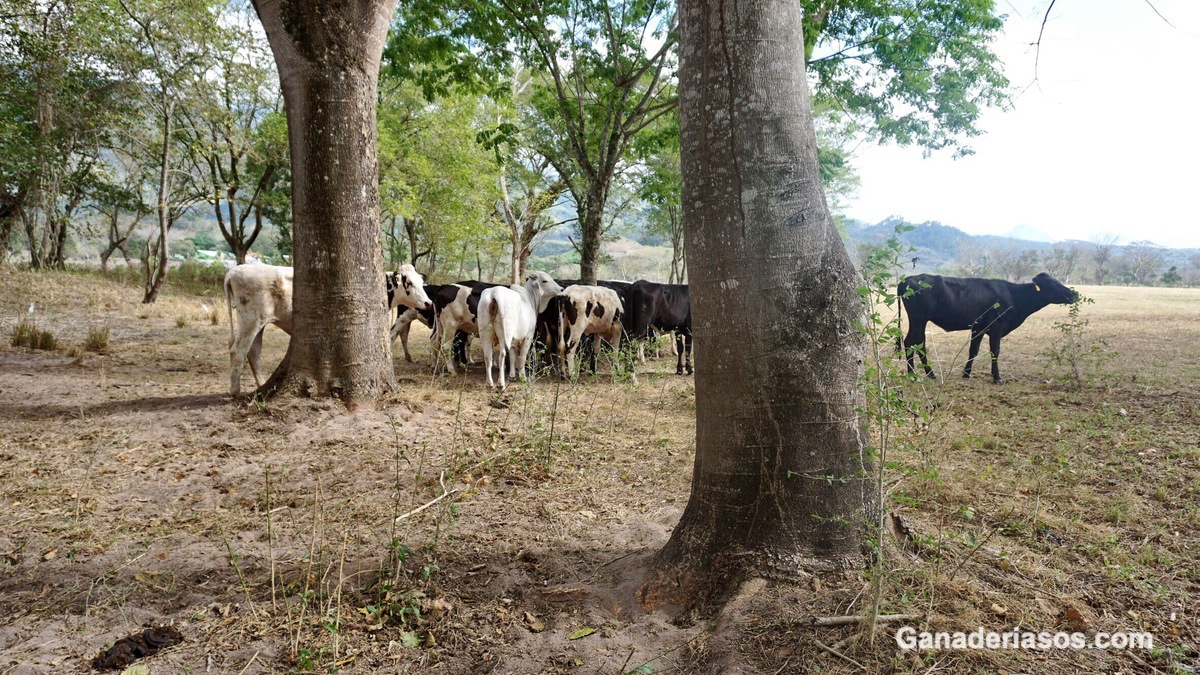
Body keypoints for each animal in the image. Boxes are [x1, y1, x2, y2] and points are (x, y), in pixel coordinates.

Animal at [902, 270, 1080, 381]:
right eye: (1053, 284)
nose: (1075, 293)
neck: (1013, 295)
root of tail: (908, 279)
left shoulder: (978, 328)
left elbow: (973, 350)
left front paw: (966, 374)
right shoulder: (996, 328)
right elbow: (995, 351)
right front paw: (997, 377)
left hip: (921, 321)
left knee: (919, 343)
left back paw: (929, 374)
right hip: (918, 320)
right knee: (910, 342)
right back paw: (913, 375)